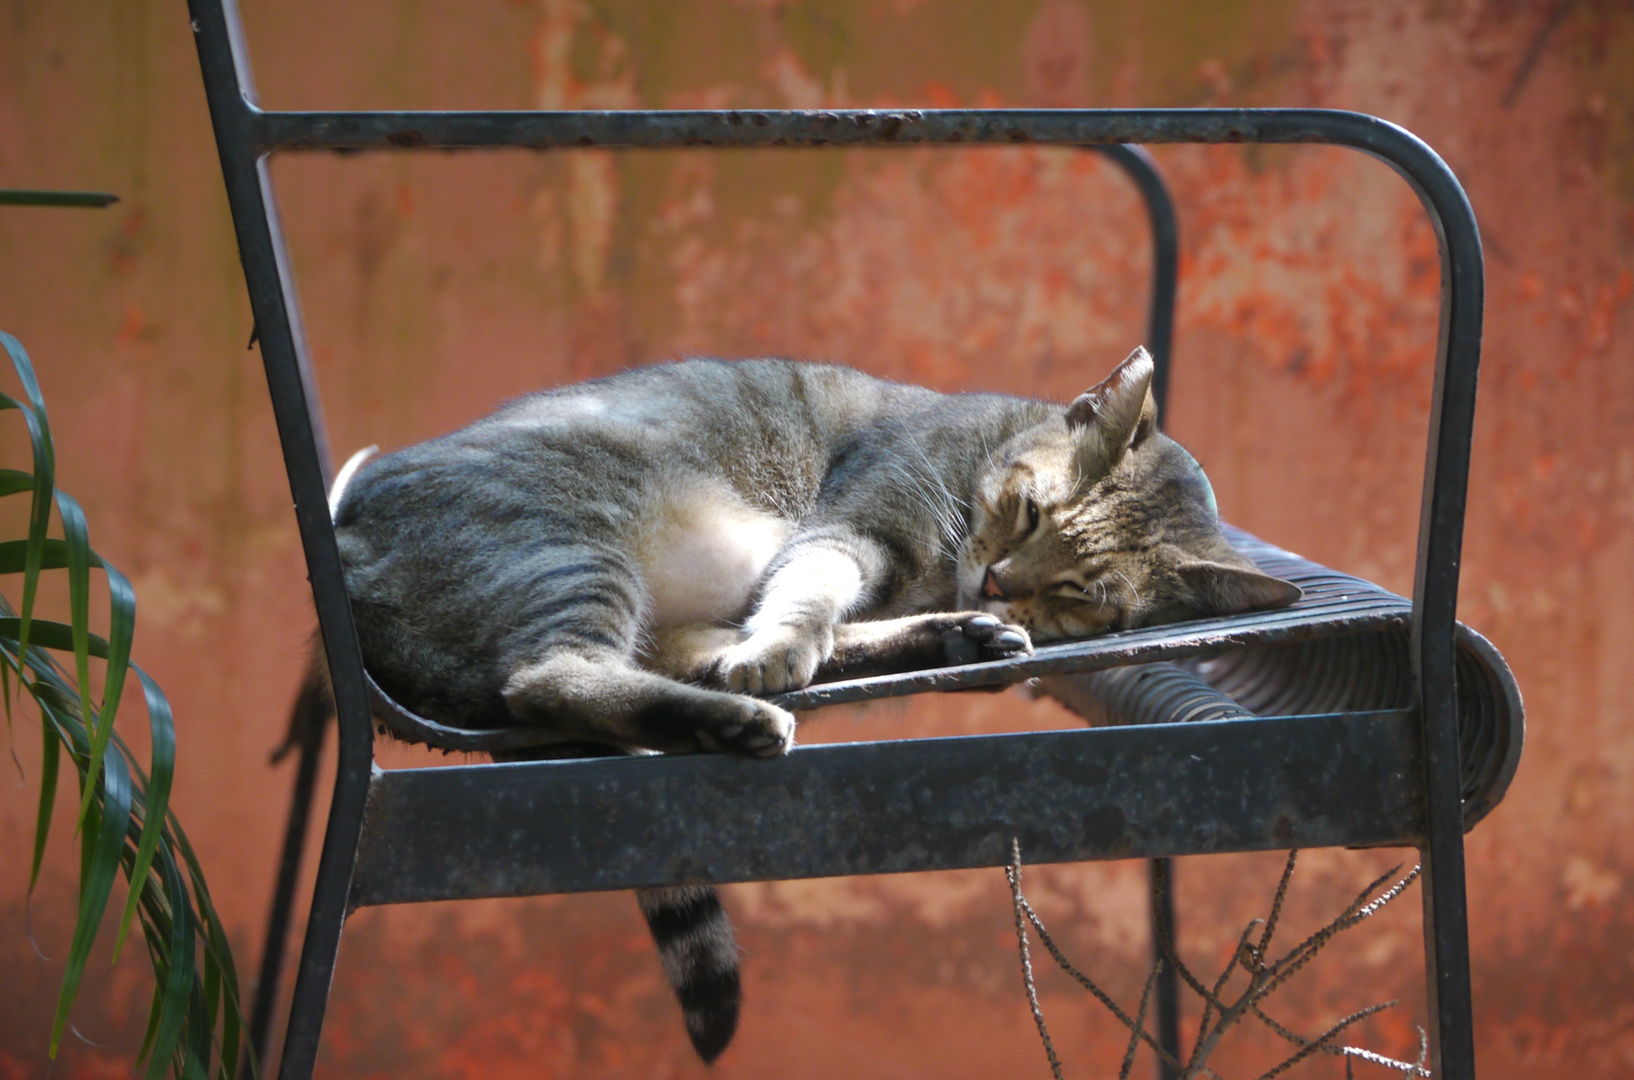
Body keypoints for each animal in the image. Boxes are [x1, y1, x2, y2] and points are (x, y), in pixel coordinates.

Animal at [315, 344, 1300, 1058]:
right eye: (1031, 511)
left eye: (1080, 592)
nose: (997, 582)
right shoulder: (852, 527)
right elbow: (810, 598)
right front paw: (790, 649)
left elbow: (812, 615)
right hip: (575, 547)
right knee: (550, 675)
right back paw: (752, 706)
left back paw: (947, 641)